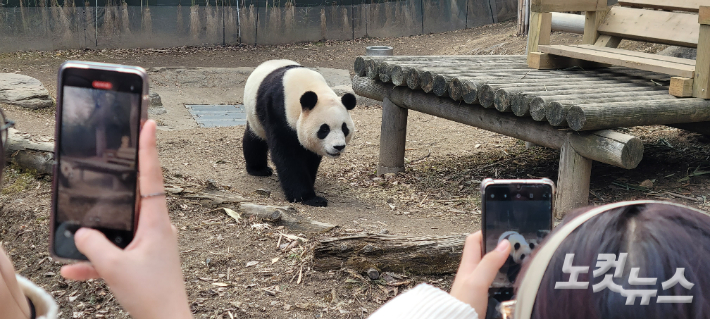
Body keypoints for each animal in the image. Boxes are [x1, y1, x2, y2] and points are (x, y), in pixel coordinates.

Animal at [243, 60, 356, 208]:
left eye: (344, 128)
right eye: (324, 129)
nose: (338, 147)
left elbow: (310, 156)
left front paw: (310, 184)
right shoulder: (278, 113)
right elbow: (288, 156)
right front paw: (309, 198)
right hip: (254, 115)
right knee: (254, 139)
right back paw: (259, 170)